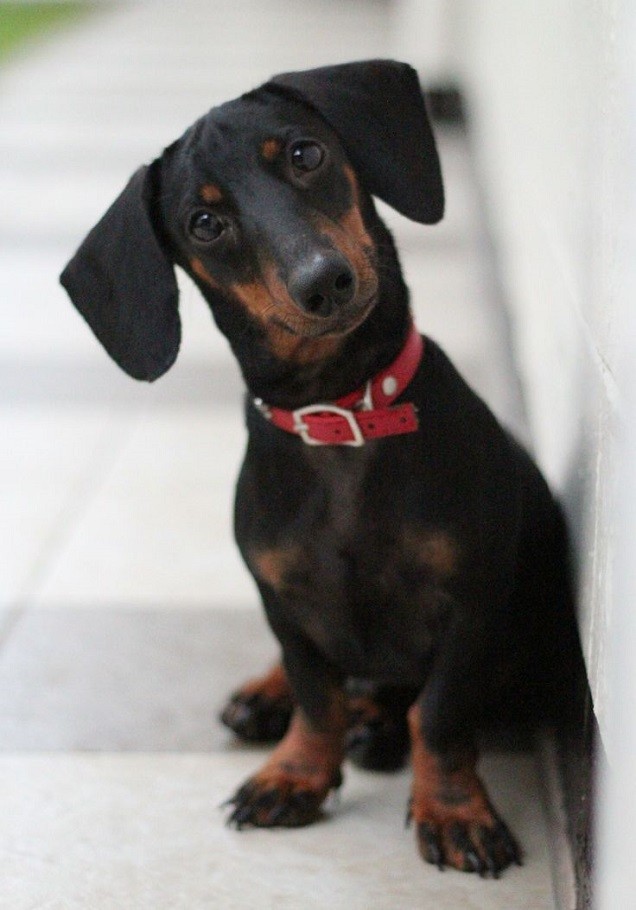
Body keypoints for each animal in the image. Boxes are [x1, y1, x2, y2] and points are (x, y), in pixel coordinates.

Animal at [60, 60, 576, 880]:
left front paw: (454, 810)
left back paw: (375, 724)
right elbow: (313, 693)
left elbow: (439, 712)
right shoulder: (282, 599)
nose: (323, 280)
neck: (342, 413)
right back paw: (267, 698)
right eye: (204, 223)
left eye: (306, 154)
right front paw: (294, 772)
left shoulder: (474, 606)